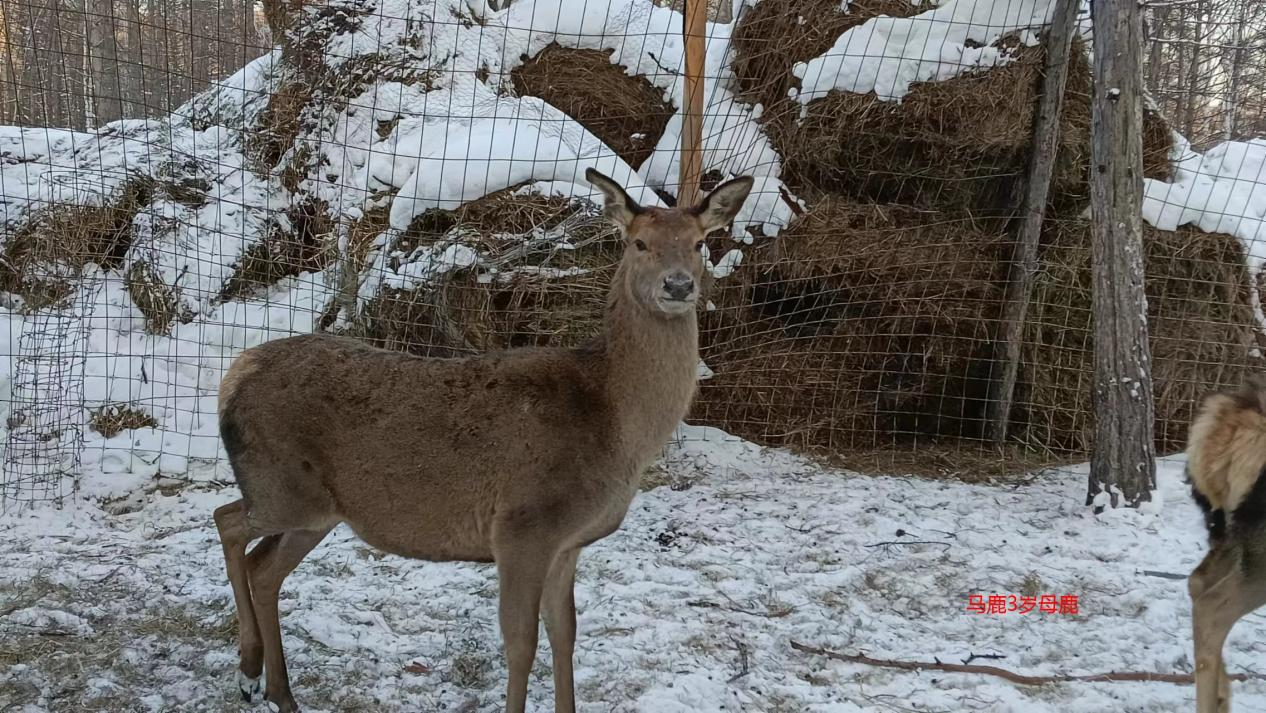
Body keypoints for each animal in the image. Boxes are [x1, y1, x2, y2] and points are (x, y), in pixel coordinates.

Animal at [211, 168, 754, 713]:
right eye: (639, 243)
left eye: (699, 243)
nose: (679, 285)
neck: (616, 426)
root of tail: (233, 376)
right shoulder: (521, 525)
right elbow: (521, 643)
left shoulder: (568, 542)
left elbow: (565, 633)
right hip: (284, 488)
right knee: (227, 521)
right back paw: (248, 670)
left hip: (318, 510)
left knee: (264, 566)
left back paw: (275, 687)